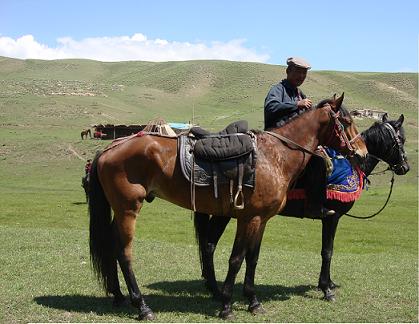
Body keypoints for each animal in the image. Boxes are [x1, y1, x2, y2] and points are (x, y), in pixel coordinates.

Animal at [88, 95, 368, 320]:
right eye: (345, 122)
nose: (363, 153)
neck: (275, 155)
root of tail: (110, 148)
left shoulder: (261, 219)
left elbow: (252, 258)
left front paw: (253, 301)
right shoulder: (248, 218)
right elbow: (236, 259)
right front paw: (226, 305)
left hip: (121, 210)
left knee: (112, 245)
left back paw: (118, 295)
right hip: (128, 210)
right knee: (124, 253)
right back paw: (142, 306)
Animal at [194, 112, 410, 302]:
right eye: (401, 139)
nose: (405, 167)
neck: (351, 163)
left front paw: (329, 283)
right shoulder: (332, 216)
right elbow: (327, 251)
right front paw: (326, 289)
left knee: (208, 244)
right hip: (226, 213)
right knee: (209, 244)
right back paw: (214, 289)